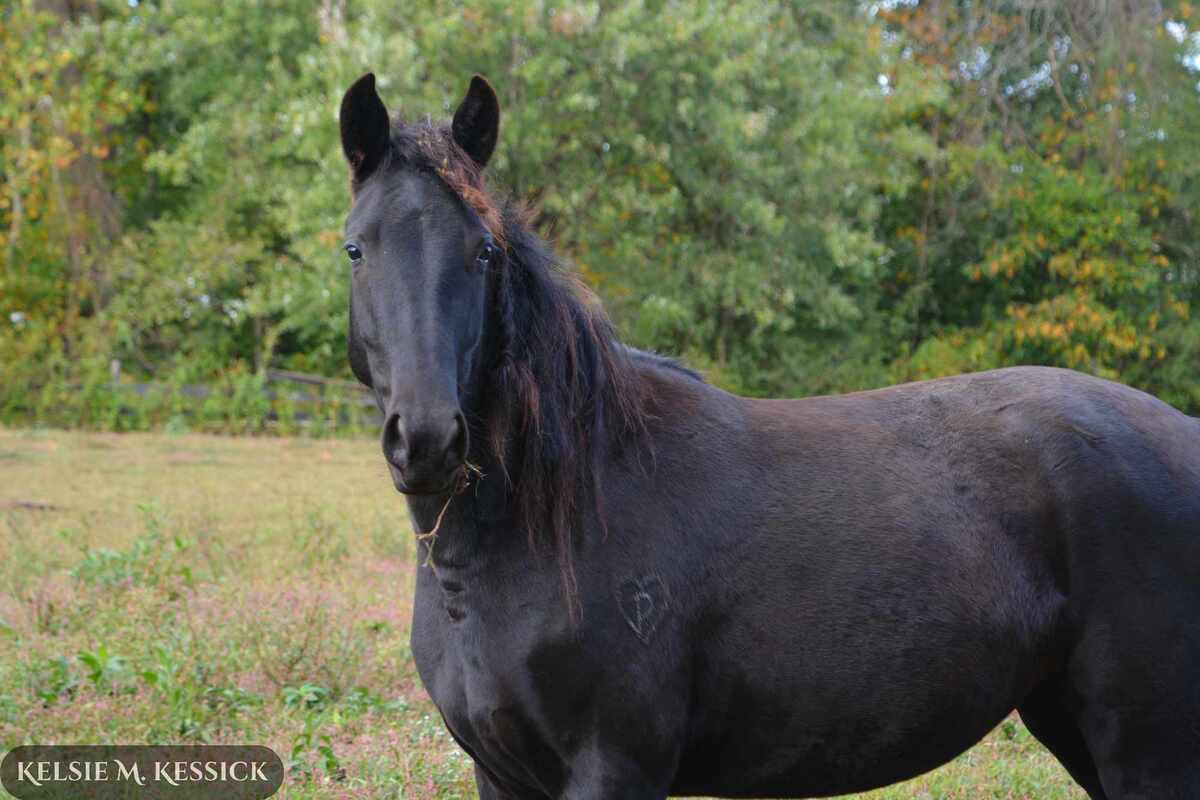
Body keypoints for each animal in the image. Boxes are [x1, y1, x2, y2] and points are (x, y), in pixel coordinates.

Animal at [337, 72, 1200, 799]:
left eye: (483, 251)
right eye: (355, 248)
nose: (428, 439)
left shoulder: (614, 765)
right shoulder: (502, 775)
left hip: (1144, 746)